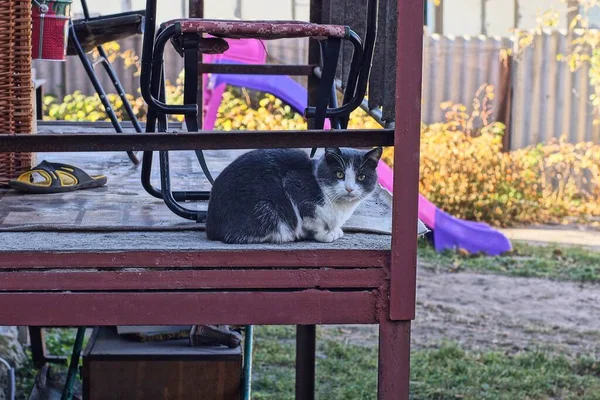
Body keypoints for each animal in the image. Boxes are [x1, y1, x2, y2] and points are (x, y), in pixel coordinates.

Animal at [206, 147, 382, 244]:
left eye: (361, 177)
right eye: (339, 174)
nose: (349, 189)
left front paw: (335, 230)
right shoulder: (295, 186)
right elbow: (314, 220)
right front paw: (325, 234)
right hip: (266, 208)